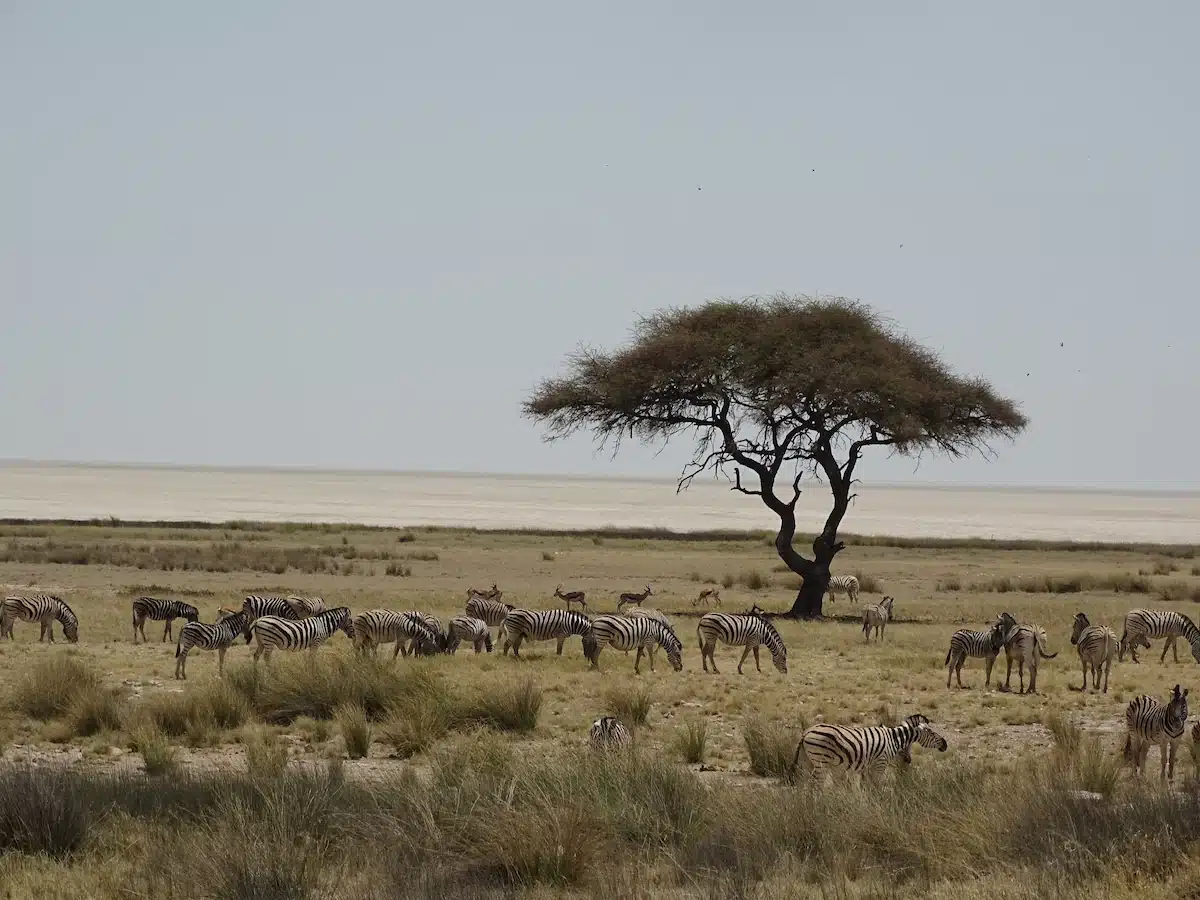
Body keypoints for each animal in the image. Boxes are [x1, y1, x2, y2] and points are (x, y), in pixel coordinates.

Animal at [791, 713, 948, 782]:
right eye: (931, 732)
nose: (945, 744)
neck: (893, 739)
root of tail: (806, 732)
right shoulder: (880, 765)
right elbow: (876, 788)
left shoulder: (868, 767)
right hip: (820, 762)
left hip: (807, 762)